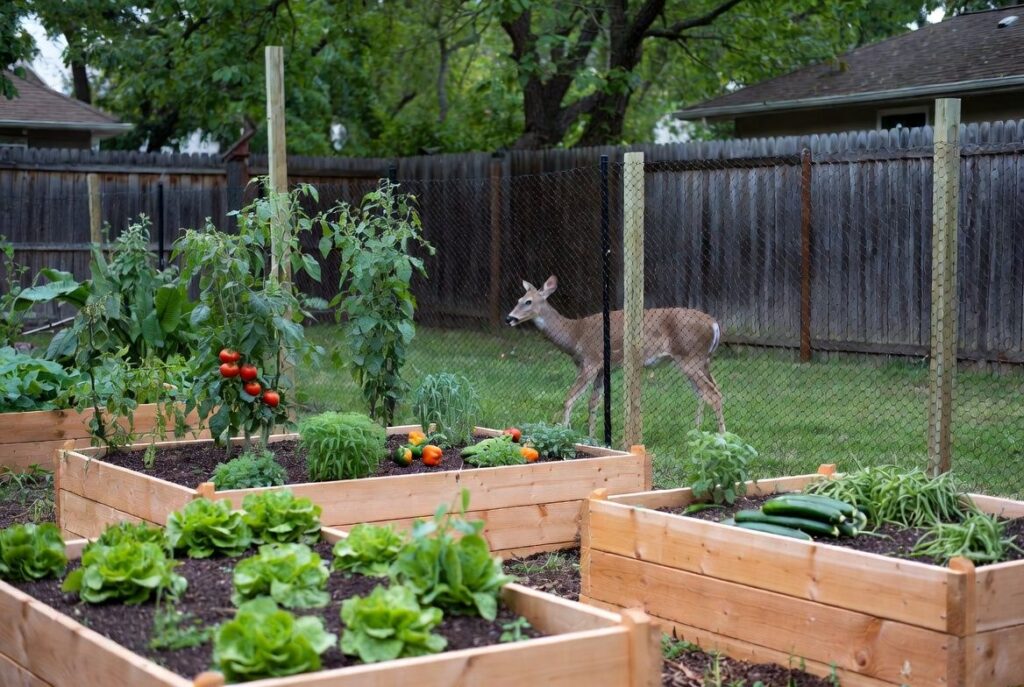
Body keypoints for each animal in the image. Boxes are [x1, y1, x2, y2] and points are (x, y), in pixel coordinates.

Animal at [505, 275, 725, 437]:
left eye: (528, 301)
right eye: (517, 300)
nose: (509, 318)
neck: (574, 334)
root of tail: (714, 324)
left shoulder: (591, 361)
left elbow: (569, 398)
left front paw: (563, 431)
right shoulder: (603, 368)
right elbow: (593, 402)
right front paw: (592, 436)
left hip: (690, 356)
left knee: (712, 394)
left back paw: (722, 437)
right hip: (702, 360)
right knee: (705, 392)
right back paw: (696, 431)